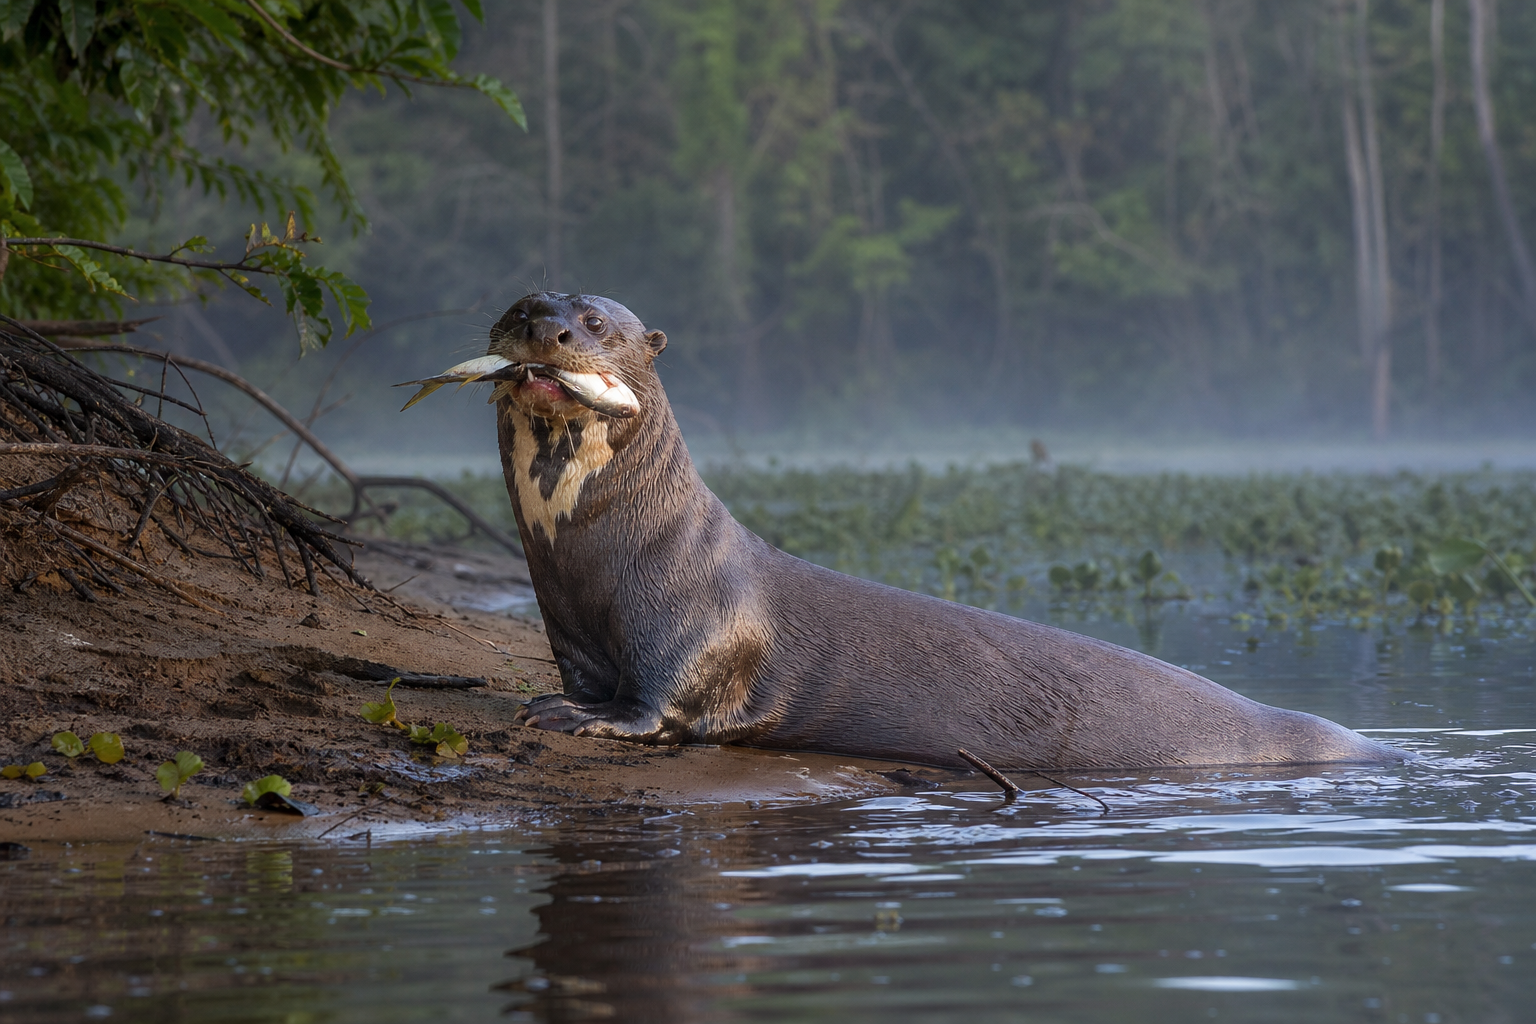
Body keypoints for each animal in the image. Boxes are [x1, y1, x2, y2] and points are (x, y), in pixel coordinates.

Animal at [414, 292, 1401, 770]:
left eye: (596, 324)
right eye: (521, 308)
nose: (545, 331)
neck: (601, 556)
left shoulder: (696, 619)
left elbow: (665, 699)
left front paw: (586, 723)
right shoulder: (571, 625)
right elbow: (586, 676)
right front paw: (569, 703)